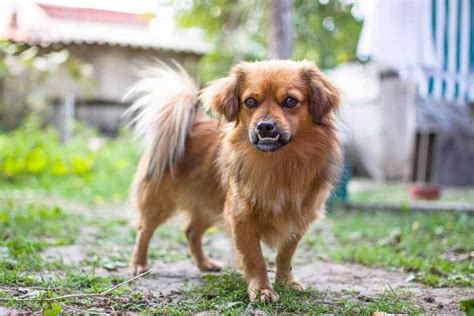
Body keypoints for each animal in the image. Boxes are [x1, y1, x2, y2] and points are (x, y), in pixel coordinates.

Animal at [125, 59, 340, 304]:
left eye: (290, 101)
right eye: (250, 102)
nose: (264, 126)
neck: (278, 164)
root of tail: (191, 125)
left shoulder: (297, 219)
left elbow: (285, 256)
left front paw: (287, 282)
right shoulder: (240, 217)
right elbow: (254, 258)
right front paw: (262, 290)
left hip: (210, 203)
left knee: (191, 231)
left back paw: (205, 263)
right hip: (160, 202)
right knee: (145, 230)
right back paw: (139, 263)